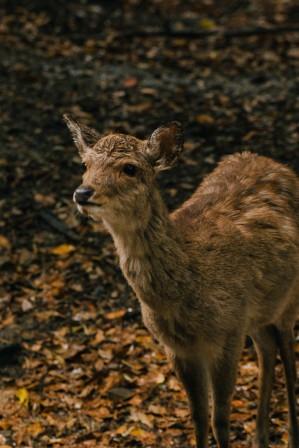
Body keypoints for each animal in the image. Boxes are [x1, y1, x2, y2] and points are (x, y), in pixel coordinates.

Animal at [65, 115, 299, 448]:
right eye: (85, 164)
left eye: (130, 168)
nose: (83, 193)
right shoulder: (179, 347)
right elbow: (198, 417)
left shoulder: (228, 332)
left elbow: (220, 420)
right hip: (259, 313)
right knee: (268, 350)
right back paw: (261, 439)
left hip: (289, 299)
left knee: (288, 354)